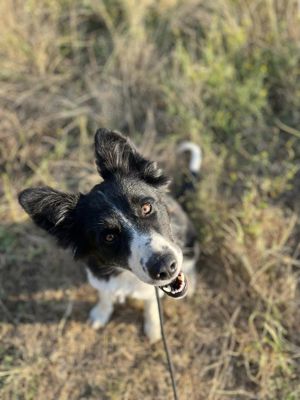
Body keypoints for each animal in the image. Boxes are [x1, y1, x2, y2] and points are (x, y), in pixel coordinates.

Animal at [18, 130, 202, 342]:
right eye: (109, 237)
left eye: (146, 208)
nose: (164, 267)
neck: (126, 274)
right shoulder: (99, 276)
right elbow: (104, 294)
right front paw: (101, 313)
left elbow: (151, 304)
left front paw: (154, 328)